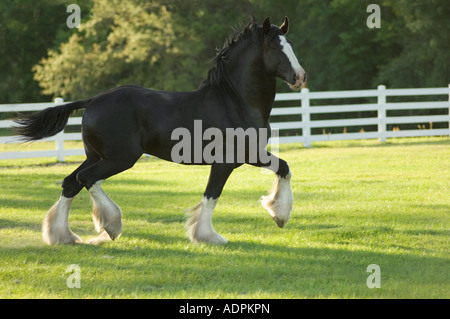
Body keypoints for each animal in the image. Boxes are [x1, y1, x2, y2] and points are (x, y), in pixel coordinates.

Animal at [13, 16, 306, 245]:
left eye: (291, 45)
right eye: (273, 47)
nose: (300, 77)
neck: (236, 101)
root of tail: (93, 100)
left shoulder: (250, 154)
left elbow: (284, 168)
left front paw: (279, 216)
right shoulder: (225, 161)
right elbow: (211, 195)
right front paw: (207, 236)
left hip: (96, 155)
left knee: (70, 182)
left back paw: (62, 236)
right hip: (120, 158)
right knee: (86, 179)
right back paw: (112, 225)